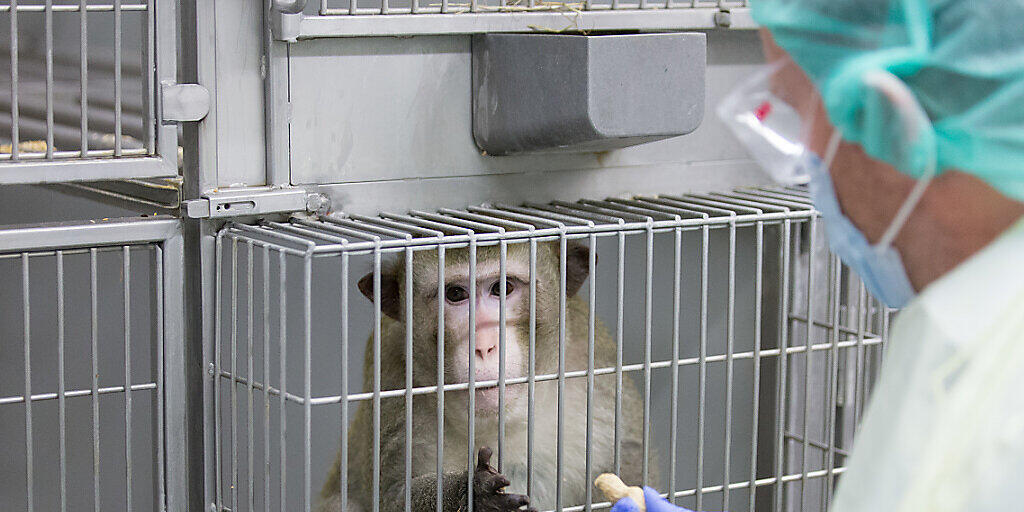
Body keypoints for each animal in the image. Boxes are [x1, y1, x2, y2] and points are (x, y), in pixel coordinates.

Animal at [319, 241, 651, 509]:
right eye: (455, 294)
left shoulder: (598, 373)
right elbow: (394, 497)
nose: (484, 346)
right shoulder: (393, 376)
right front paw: (473, 494)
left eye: (502, 289)